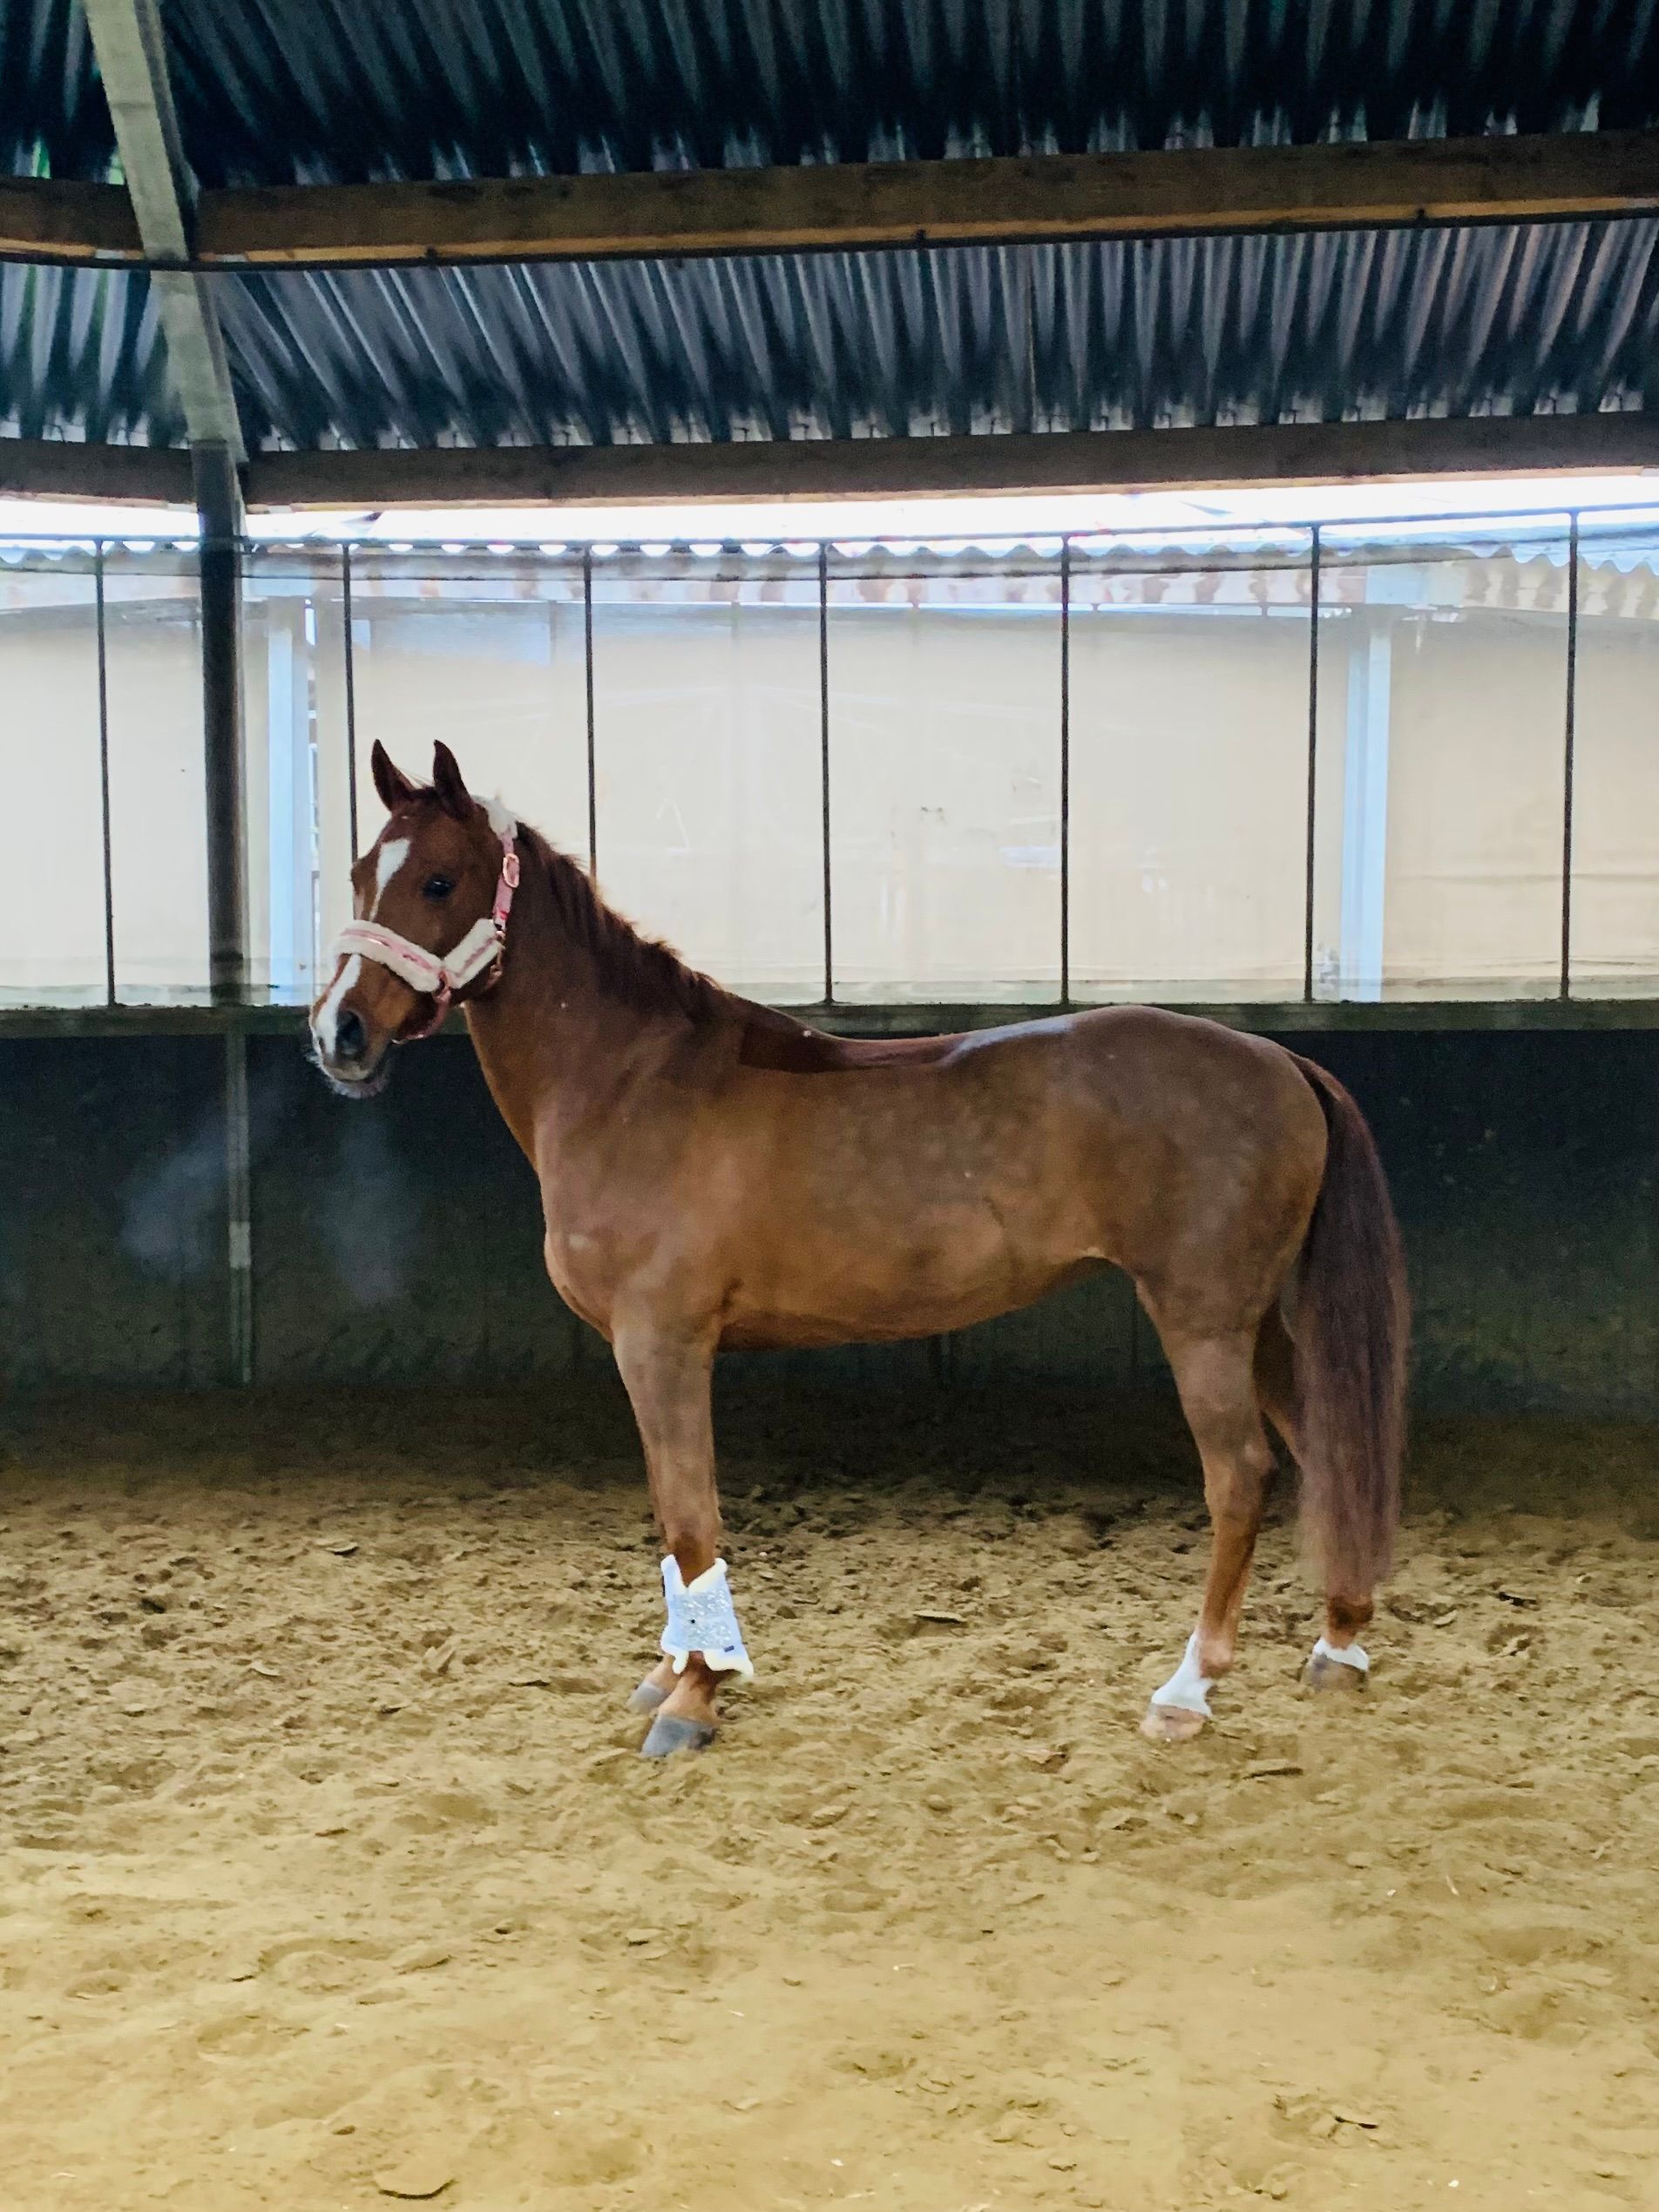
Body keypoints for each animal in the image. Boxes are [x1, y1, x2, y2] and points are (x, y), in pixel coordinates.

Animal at [310, 741, 1409, 1757]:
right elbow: (669, 1517)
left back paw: (1185, 1690)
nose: (339, 1033)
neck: (630, 1083)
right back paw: (1337, 1645)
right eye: (362, 873)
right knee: (1320, 1448)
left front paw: (692, 1700)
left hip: (1202, 1320)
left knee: (1240, 1476)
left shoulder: (662, 1345)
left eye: (438, 880)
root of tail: (1277, 1059)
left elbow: (690, 1519)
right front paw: (668, 1670)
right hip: (1258, 1324)